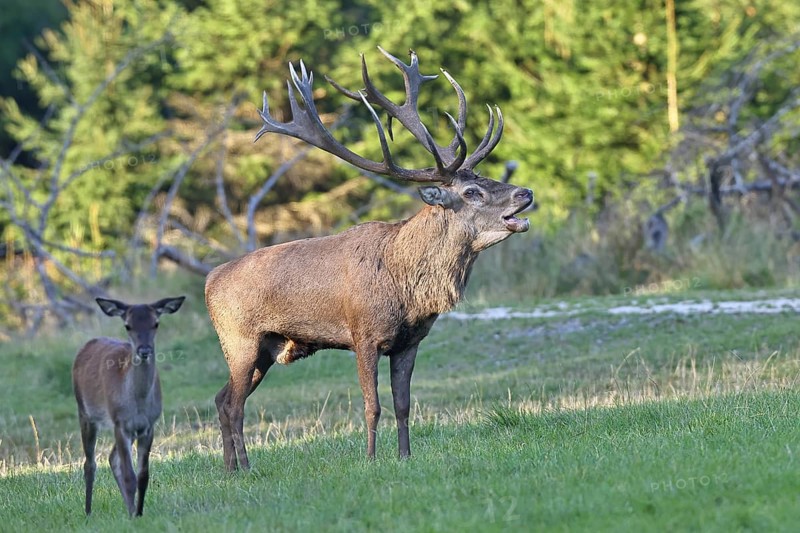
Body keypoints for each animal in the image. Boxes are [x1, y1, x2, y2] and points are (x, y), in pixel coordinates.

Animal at [72, 296, 185, 516]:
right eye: (128, 325)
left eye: (156, 323)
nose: (144, 350)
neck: (137, 403)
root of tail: (87, 344)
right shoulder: (119, 422)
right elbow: (129, 476)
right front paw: (133, 516)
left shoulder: (148, 426)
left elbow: (143, 476)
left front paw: (138, 513)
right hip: (85, 412)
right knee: (90, 464)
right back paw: (88, 512)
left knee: (111, 457)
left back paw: (128, 507)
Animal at [205, 47, 534, 471]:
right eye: (472, 192)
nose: (525, 192)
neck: (406, 286)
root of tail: (209, 279)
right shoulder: (363, 333)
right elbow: (371, 405)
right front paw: (372, 458)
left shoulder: (410, 341)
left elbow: (404, 404)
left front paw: (406, 456)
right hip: (239, 339)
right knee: (233, 404)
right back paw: (245, 468)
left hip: (266, 348)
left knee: (221, 398)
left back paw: (230, 469)